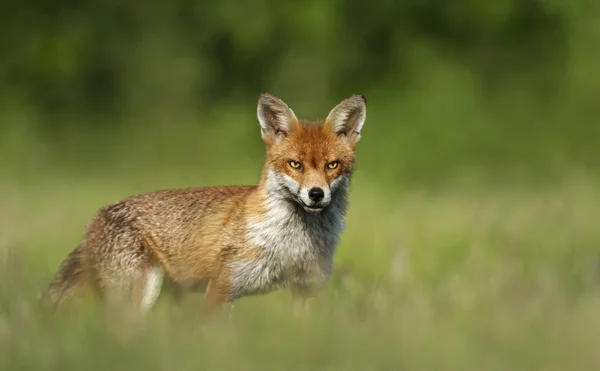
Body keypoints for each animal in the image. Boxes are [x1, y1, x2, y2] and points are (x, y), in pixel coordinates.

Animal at [42, 93, 366, 316]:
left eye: (332, 165)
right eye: (295, 164)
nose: (315, 194)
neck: (292, 243)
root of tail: (96, 218)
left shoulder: (307, 290)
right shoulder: (221, 287)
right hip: (141, 292)